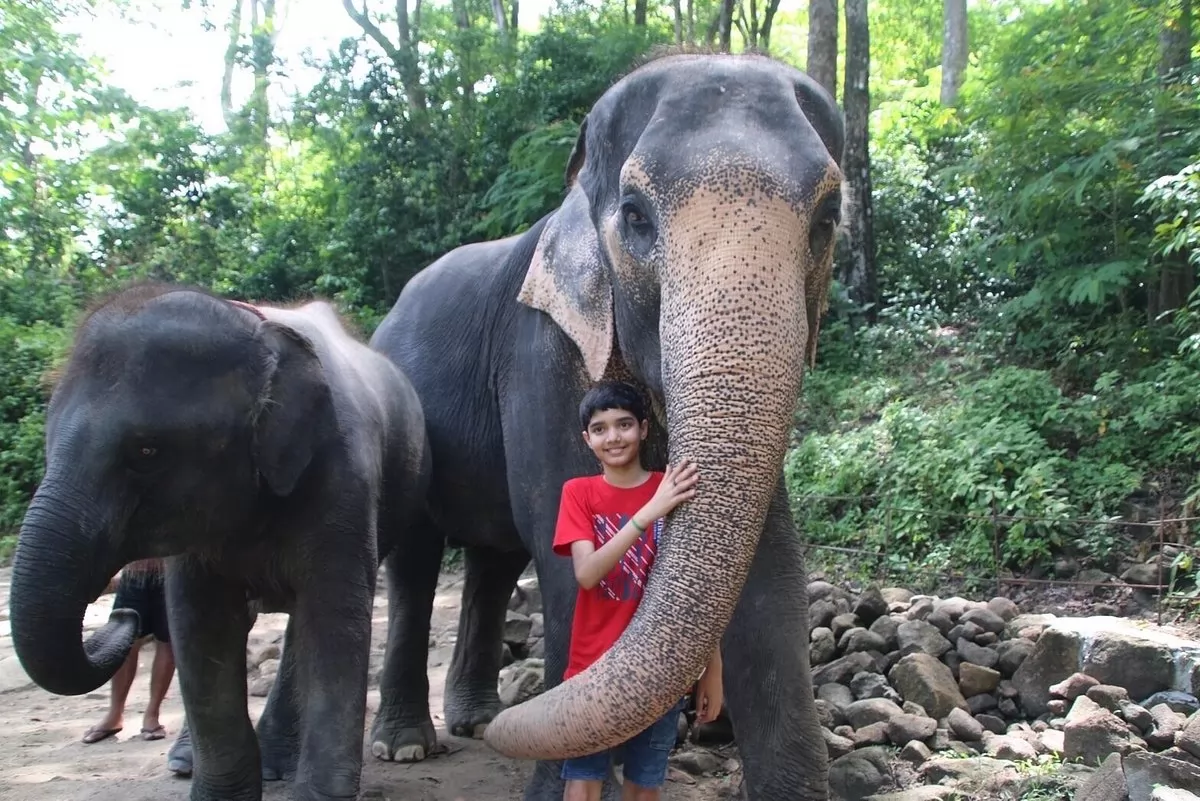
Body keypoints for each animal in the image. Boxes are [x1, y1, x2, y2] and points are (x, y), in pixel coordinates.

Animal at [8, 283, 432, 801]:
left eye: (146, 451)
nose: (125, 612)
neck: (259, 333)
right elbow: (200, 625)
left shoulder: (345, 477)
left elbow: (334, 622)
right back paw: (187, 762)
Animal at [366, 49, 846, 800]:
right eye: (635, 215)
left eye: (829, 215)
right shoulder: (540, 350)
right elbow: (567, 565)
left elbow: (772, 573)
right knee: (418, 562)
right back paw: (409, 744)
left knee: (495, 560)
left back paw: (480, 720)